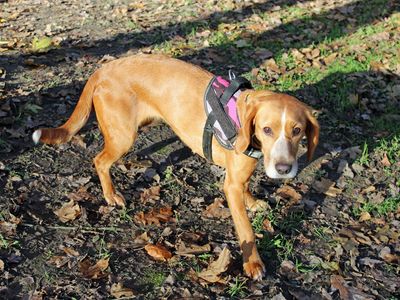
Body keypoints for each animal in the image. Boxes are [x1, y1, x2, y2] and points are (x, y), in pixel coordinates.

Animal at [32, 54, 318, 282]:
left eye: (297, 131)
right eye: (267, 129)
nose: (284, 168)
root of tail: (104, 69)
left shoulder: (241, 177)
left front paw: (253, 201)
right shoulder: (231, 186)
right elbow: (245, 229)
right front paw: (253, 263)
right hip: (124, 135)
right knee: (100, 161)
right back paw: (110, 194)